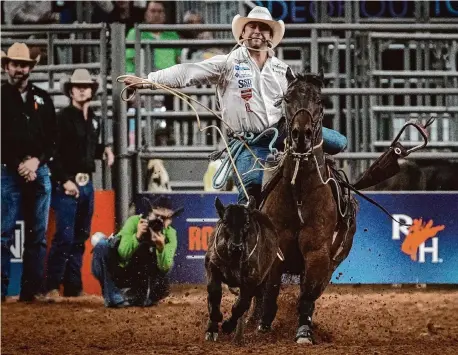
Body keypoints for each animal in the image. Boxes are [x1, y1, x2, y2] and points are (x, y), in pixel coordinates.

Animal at [258, 70, 358, 344]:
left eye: (320, 101)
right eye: (287, 98)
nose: (301, 135)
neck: (300, 192)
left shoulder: (317, 253)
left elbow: (308, 294)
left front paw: (303, 331)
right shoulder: (276, 250)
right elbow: (270, 290)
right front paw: (263, 323)